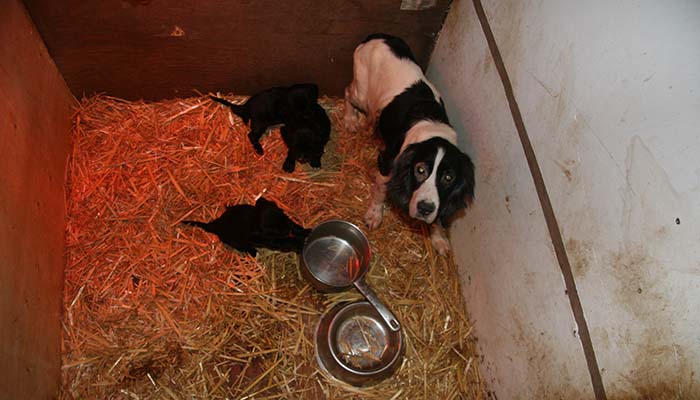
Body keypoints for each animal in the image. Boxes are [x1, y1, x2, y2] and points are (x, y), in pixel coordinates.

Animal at [182, 197, 310, 256]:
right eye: (275, 231)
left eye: (282, 214)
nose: (287, 230)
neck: (254, 217)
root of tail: (216, 225)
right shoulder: (270, 240)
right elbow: (285, 241)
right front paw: (298, 244)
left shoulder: (288, 221)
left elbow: (296, 226)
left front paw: (306, 232)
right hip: (236, 242)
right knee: (244, 247)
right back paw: (253, 252)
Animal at [344, 32, 476, 255]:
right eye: (420, 170)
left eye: (449, 178)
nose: (425, 208)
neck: (433, 131)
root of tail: (377, 36)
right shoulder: (387, 161)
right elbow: (380, 190)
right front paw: (374, 215)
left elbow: (439, 215)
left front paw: (439, 238)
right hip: (360, 92)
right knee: (348, 93)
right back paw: (350, 119)